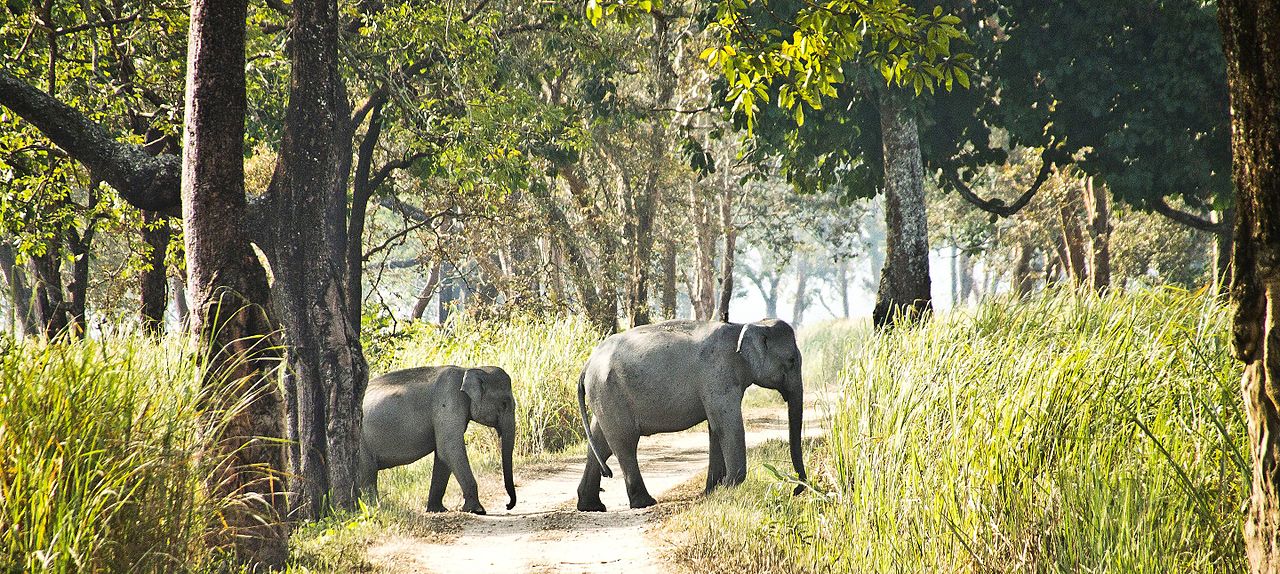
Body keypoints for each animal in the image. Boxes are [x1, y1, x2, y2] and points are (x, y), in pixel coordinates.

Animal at [355, 369, 514, 515]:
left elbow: (443, 456)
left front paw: (437, 510)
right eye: (504, 403)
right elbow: (450, 449)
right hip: (362, 445)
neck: (467, 370)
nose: (507, 505)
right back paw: (375, 509)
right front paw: (477, 510)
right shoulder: (449, 402)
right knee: (368, 473)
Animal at [576, 317, 803, 512]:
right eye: (792, 360)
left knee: (600, 443)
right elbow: (727, 426)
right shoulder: (718, 375)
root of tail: (587, 364)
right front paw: (729, 487)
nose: (796, 490)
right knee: (625, 443)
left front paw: (713, 491)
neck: (746, 325)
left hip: (604, 397)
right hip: (611, 394)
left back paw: (591, 506)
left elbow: (716, 428)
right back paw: (644, 502)